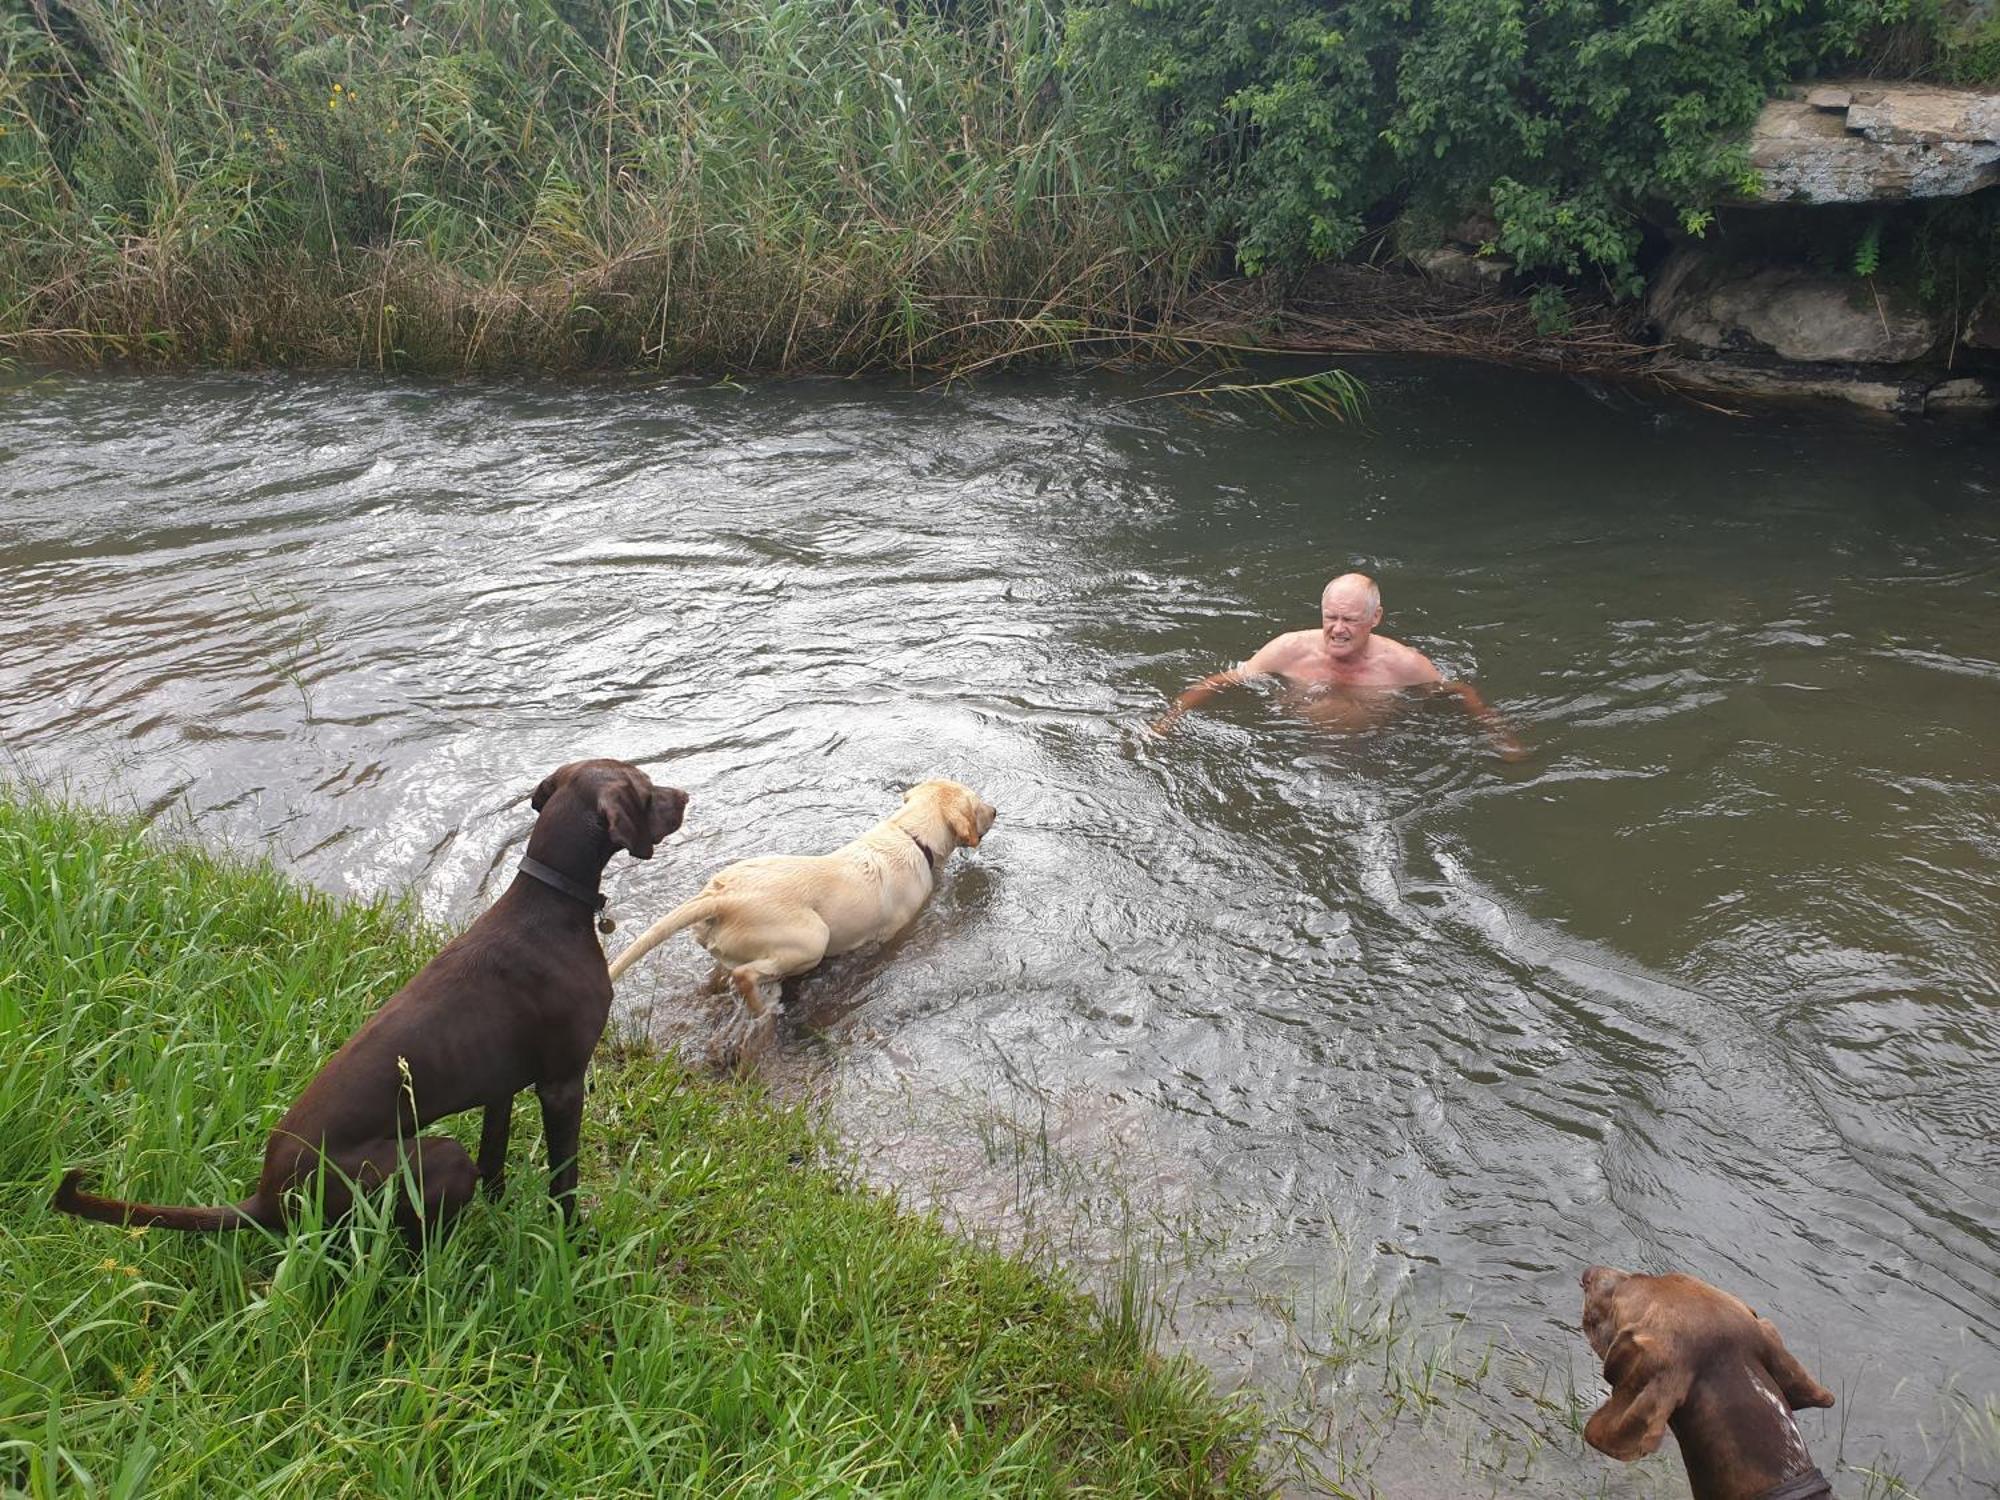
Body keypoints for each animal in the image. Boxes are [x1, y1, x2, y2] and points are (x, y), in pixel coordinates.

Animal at [50, 764, 688, 1248]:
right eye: (645, 787)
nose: (685, 796)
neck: (549, 902)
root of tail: (266, 1195)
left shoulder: (503, 1088)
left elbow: (497, 1160)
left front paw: (506, 1213)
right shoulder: (561, 1084)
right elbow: (565, 1179)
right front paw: (574, 1242)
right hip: (433, 1159)